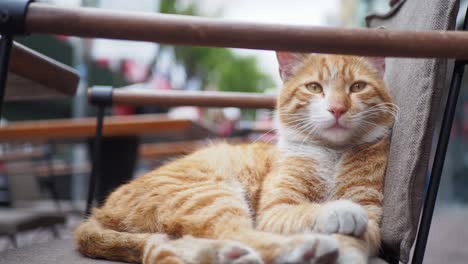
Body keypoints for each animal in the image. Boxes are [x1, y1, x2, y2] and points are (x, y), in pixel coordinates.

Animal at [75, 52, 396, 262]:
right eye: (314, 87)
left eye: (357, 87)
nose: (337, 109)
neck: (332, 153)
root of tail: (99, 211)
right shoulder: (274, 212)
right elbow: (307, 211)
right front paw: (337, 212)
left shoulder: (371, 212)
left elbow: (357, 242)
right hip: (209, 195)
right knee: (236, 232)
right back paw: (307, 249)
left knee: (178, 242)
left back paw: (222, 256)